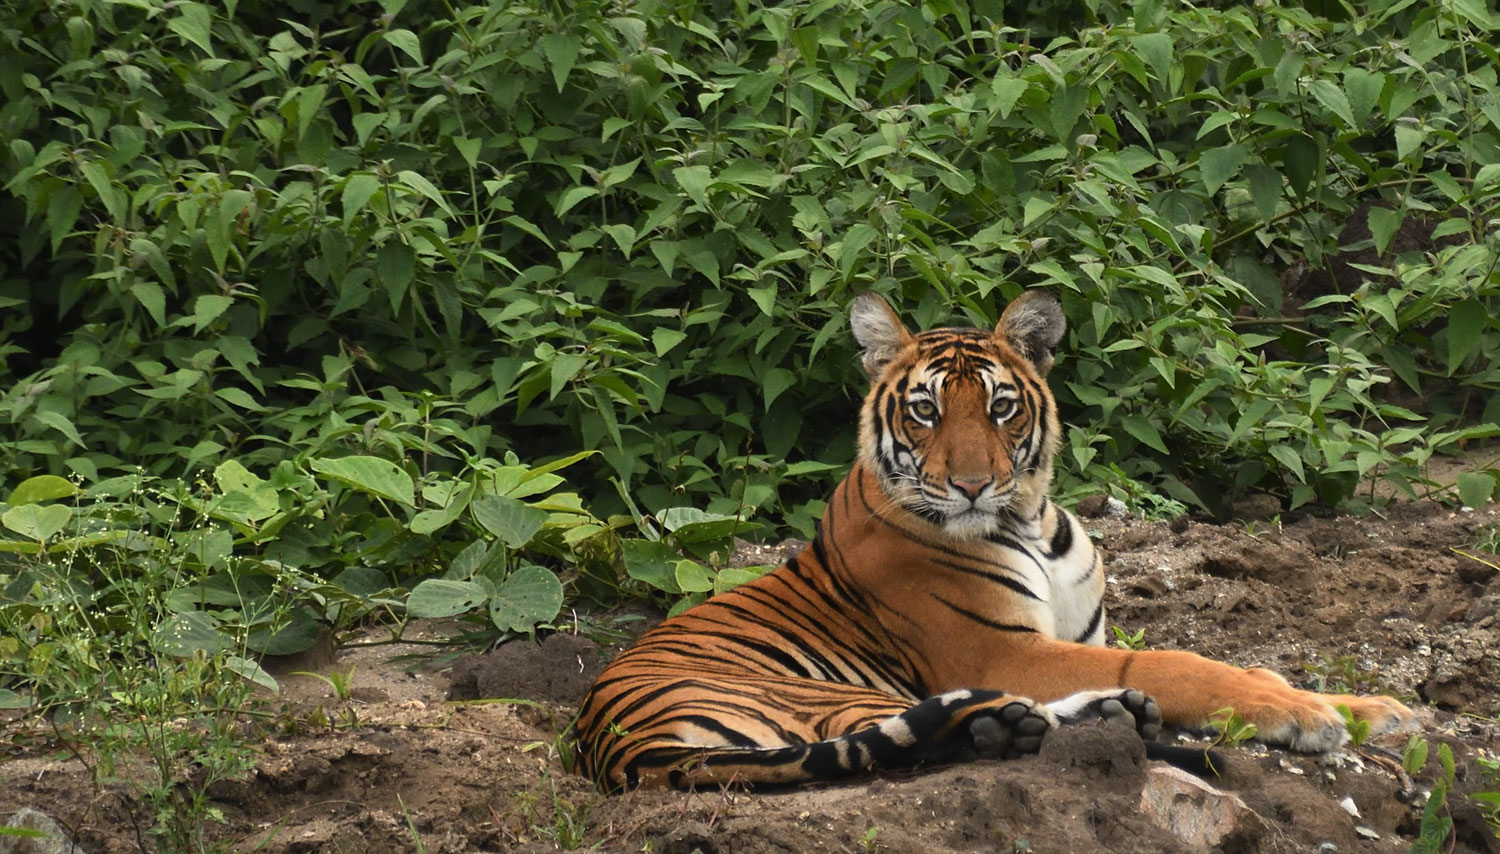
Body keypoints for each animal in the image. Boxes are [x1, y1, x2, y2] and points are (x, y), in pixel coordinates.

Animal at [567, 291, 1410, 786]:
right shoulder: (999, 652)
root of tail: (610, 740)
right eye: (926, 411)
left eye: (1002, 407)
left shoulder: (1075, 639)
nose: (972, 484)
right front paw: (1304, 716)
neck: (1031, 520)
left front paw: (1375, 709)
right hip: (831, 691)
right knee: (918, 735)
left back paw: (1111, 718)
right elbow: (1177, 663)